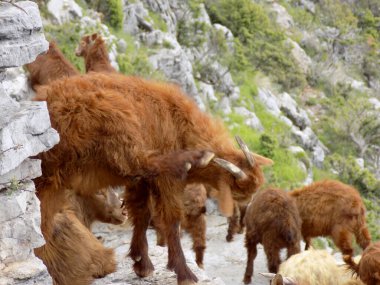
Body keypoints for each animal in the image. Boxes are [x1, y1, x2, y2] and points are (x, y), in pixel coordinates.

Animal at [31, 72, 272, 282]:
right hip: (115, 119)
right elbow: (171, 220)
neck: (180, 124)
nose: (250, 202)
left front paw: (141, 263)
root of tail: (48, 101)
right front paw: (184, 272)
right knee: (141, 159)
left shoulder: (139, 182)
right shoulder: (165, 182)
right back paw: (195, 157)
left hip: (53, 175)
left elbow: (142, 214)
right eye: (238, 189)